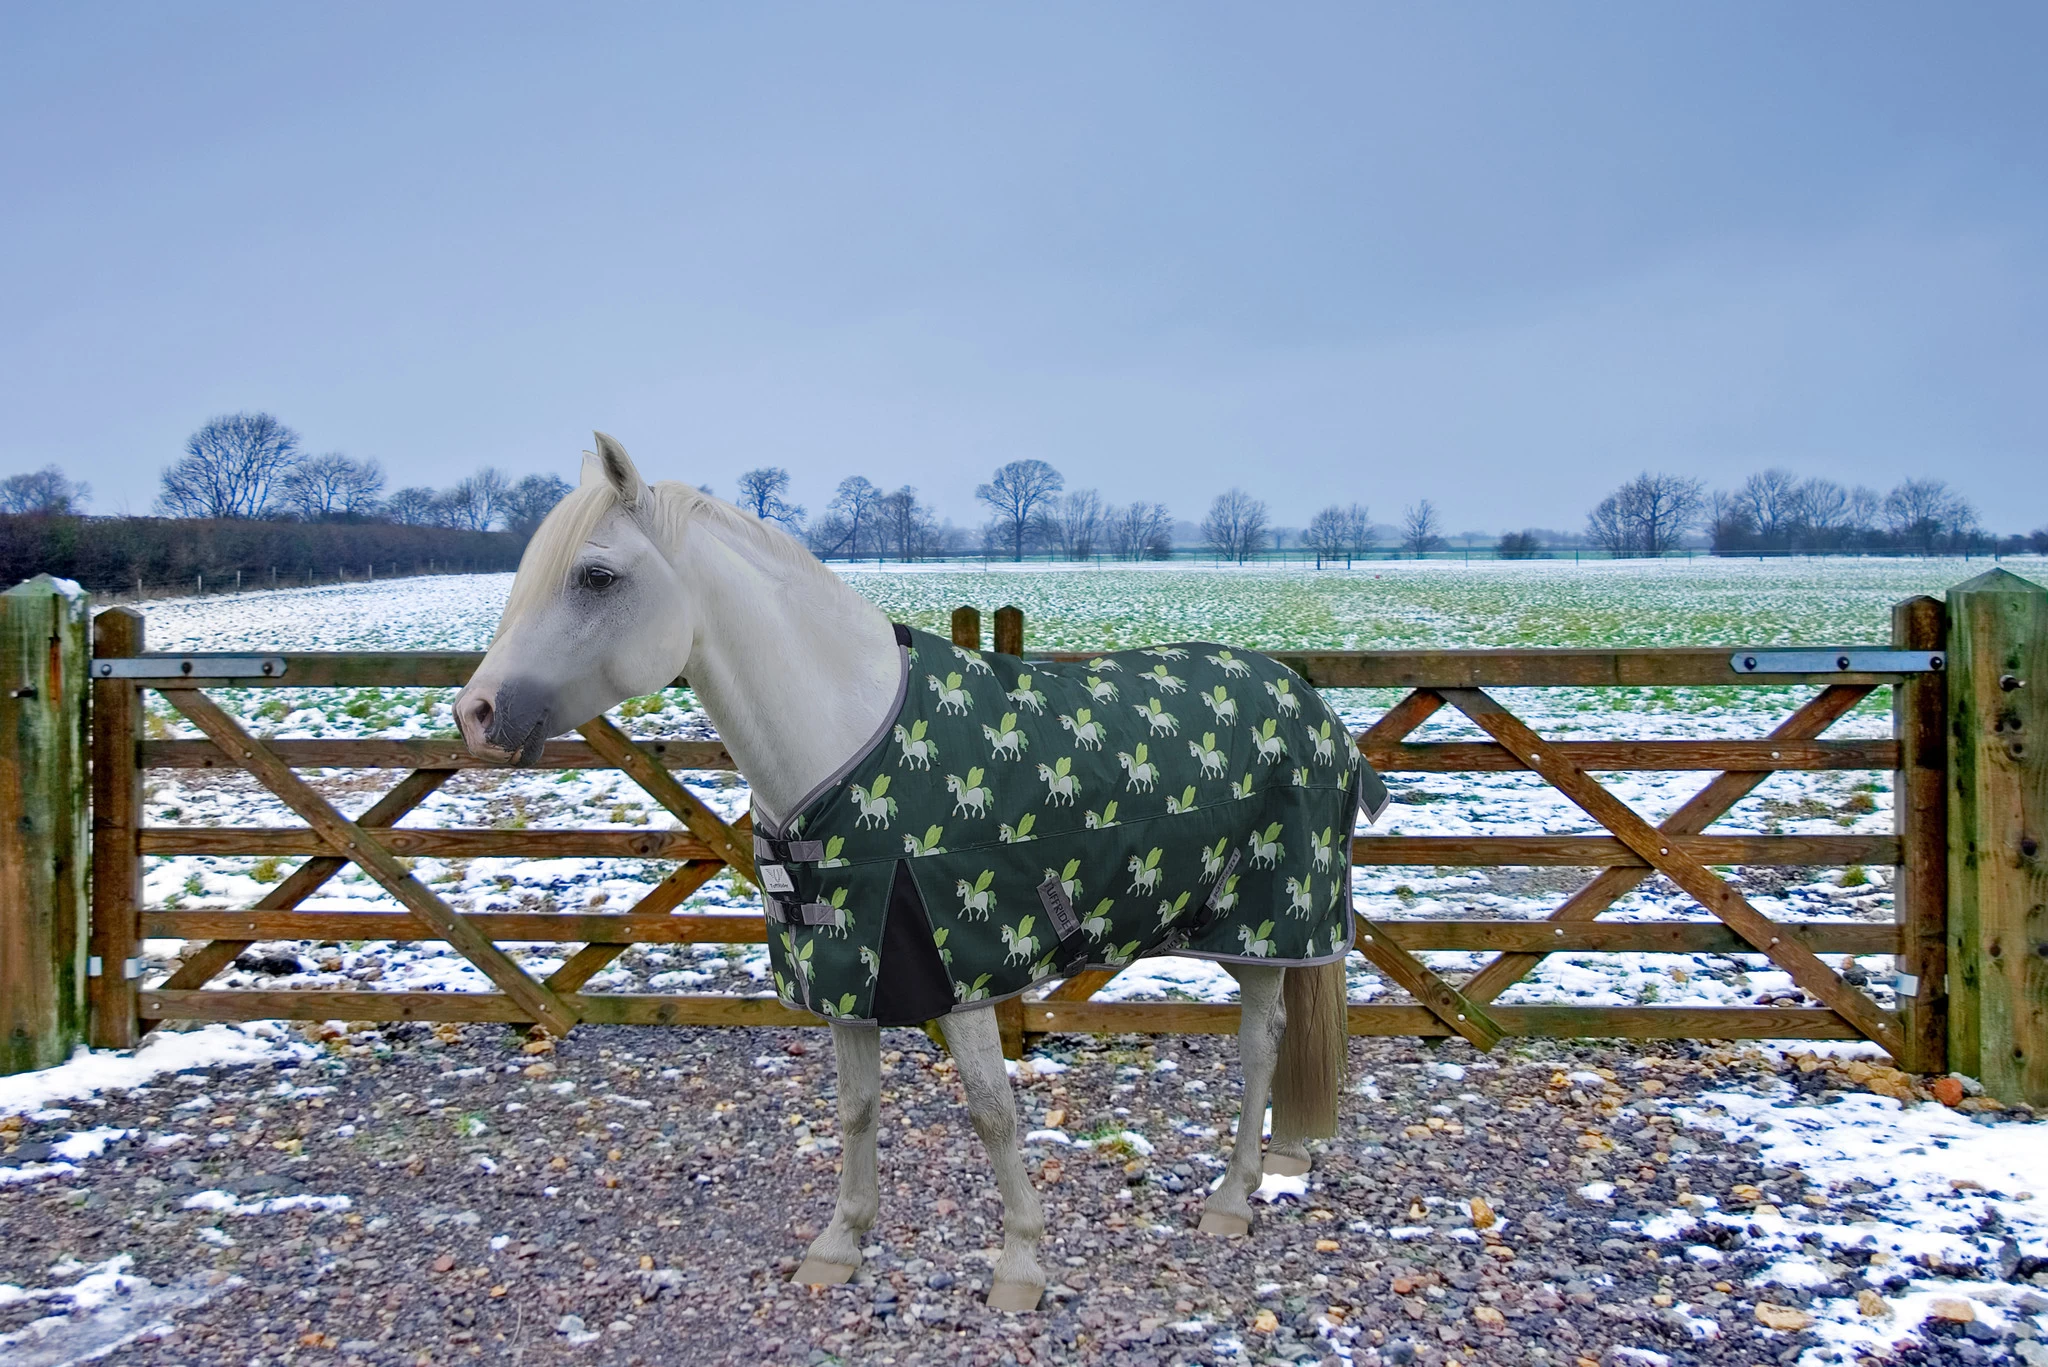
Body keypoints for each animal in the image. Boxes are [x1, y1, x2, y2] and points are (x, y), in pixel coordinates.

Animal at [456, 434, 1355, 1313]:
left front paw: (1020, 1262)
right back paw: (1277, 1166)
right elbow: (857, 1106)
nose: (476, 714)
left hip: (1271, 924)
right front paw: (839, 1244)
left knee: (1260, 1045)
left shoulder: (961, 974)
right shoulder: (849, 973)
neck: (847, 746)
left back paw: (1231, 1199)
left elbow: (992, 1109)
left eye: (595, 575)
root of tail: (1311, 704)